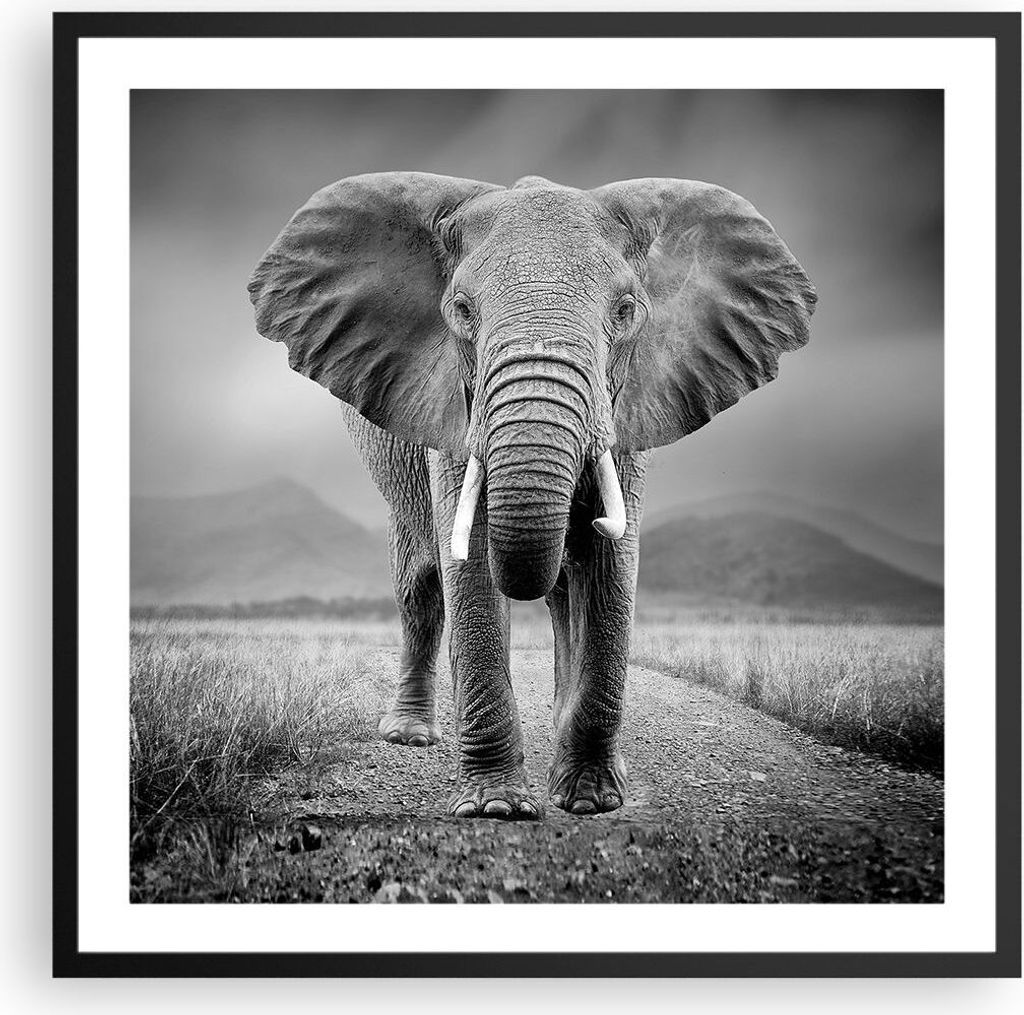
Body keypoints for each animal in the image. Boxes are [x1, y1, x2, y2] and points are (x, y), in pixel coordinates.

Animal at [249, 172, 815, 820]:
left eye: (626, 311)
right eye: (461, 311)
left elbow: (611, 564)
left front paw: (591, 799)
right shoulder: (454, 408)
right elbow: (466, 566)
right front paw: (496, 808)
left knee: (565, 591)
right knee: (420, 583)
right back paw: (410, 736)